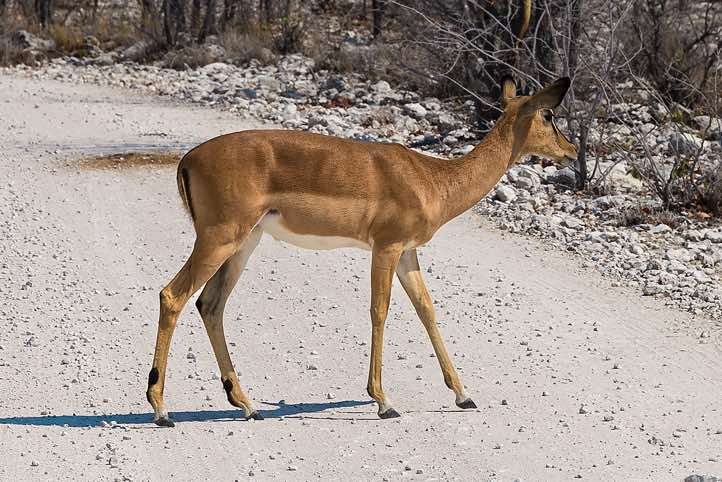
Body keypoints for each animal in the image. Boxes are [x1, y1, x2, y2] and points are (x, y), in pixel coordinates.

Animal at [146, 76, 577, 426]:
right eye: (549, 115)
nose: (572, 151)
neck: (432, 179)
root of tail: (188, 159)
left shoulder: (408, 253)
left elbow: (426, 309)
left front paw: (463, 395)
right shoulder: (386, 246)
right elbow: (379, 310)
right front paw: (384, 402)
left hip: (243, 242)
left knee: (209, 304)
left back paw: (248, 406)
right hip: (219, 238)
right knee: (172, 295)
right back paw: (162, 411)